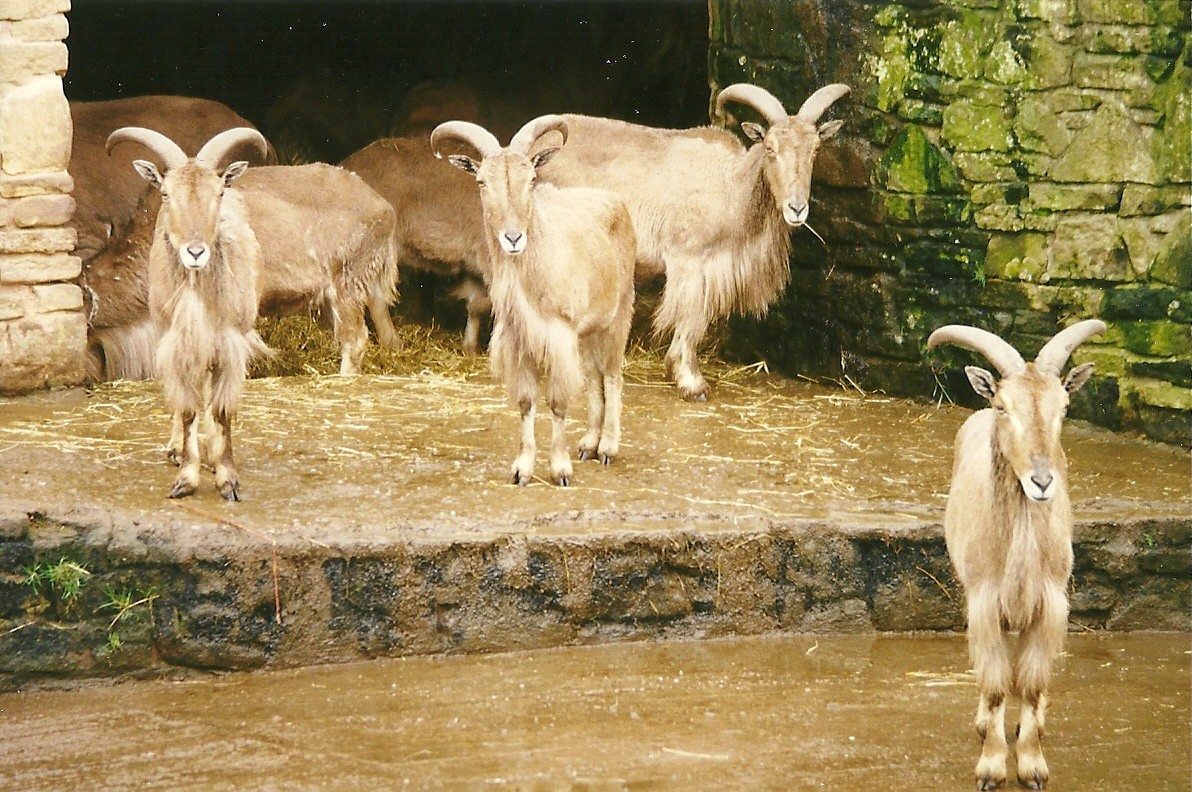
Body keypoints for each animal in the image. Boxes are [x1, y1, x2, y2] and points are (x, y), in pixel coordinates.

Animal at [106, 126, 272, 501]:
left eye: (219, 192)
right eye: (166, 193)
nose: (195, 252)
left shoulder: (229, 345)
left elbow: (221, 411)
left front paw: (227, 479)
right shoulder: (177, 344)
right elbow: (186, 409)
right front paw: (186, 477)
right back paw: (178, 447)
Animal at [431, 115, 635, 487]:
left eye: (531, 179)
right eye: (481, 182)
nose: (513, 238)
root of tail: (615, 202)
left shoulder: (559, 335)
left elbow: (557, 401)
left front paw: (560, 469)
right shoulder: (518, 339)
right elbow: (527, 402)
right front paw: (522, 469)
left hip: (618, 313)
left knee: (612, 375)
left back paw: (608, 448)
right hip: (586, 331)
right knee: (594, 375)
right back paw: (589, 443)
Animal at [538, 82, 850, 401]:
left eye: (815, 149)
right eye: (770, 148)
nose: (796, 209)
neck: (732, 184)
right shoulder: (690, 263)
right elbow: (690, 319)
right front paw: (691, 382)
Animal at [927, 319, 1106, 791]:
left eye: (1064, 406)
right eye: (1004, 406)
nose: (1042, 481)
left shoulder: (1051, 605)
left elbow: (1031, 683)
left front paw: (1031, 764)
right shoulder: (985, 604)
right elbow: (994, 686)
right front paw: (991, 766)